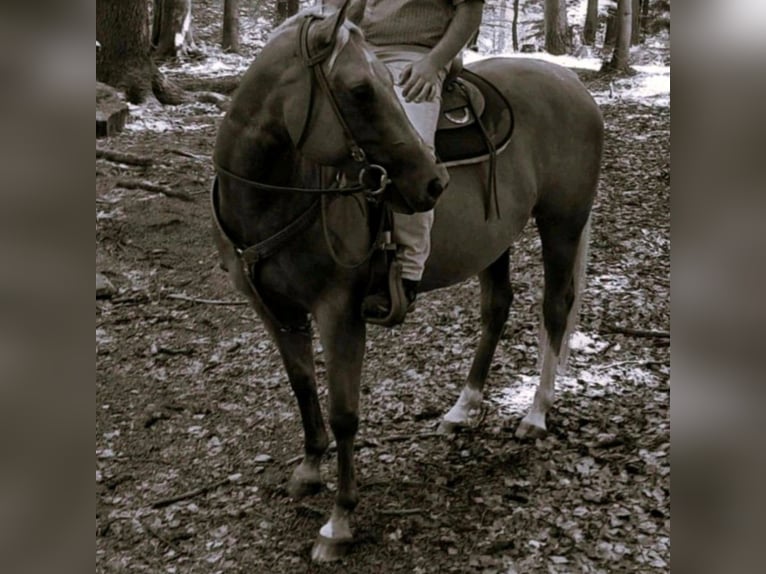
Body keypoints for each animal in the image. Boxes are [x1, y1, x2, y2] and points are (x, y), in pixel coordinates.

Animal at [212, 0, 608, 564]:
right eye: (359, 90)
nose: (434, 182)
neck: (274, 194)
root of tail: (571, 83)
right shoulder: (275, 311)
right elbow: (302, 388)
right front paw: (308, 470)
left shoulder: (339, 312)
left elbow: (345, 413)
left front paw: (338, 522)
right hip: (495, 238)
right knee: (497, 307)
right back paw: (462, 408)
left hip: (562, 223)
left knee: (555, 307)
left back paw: (535, 415)